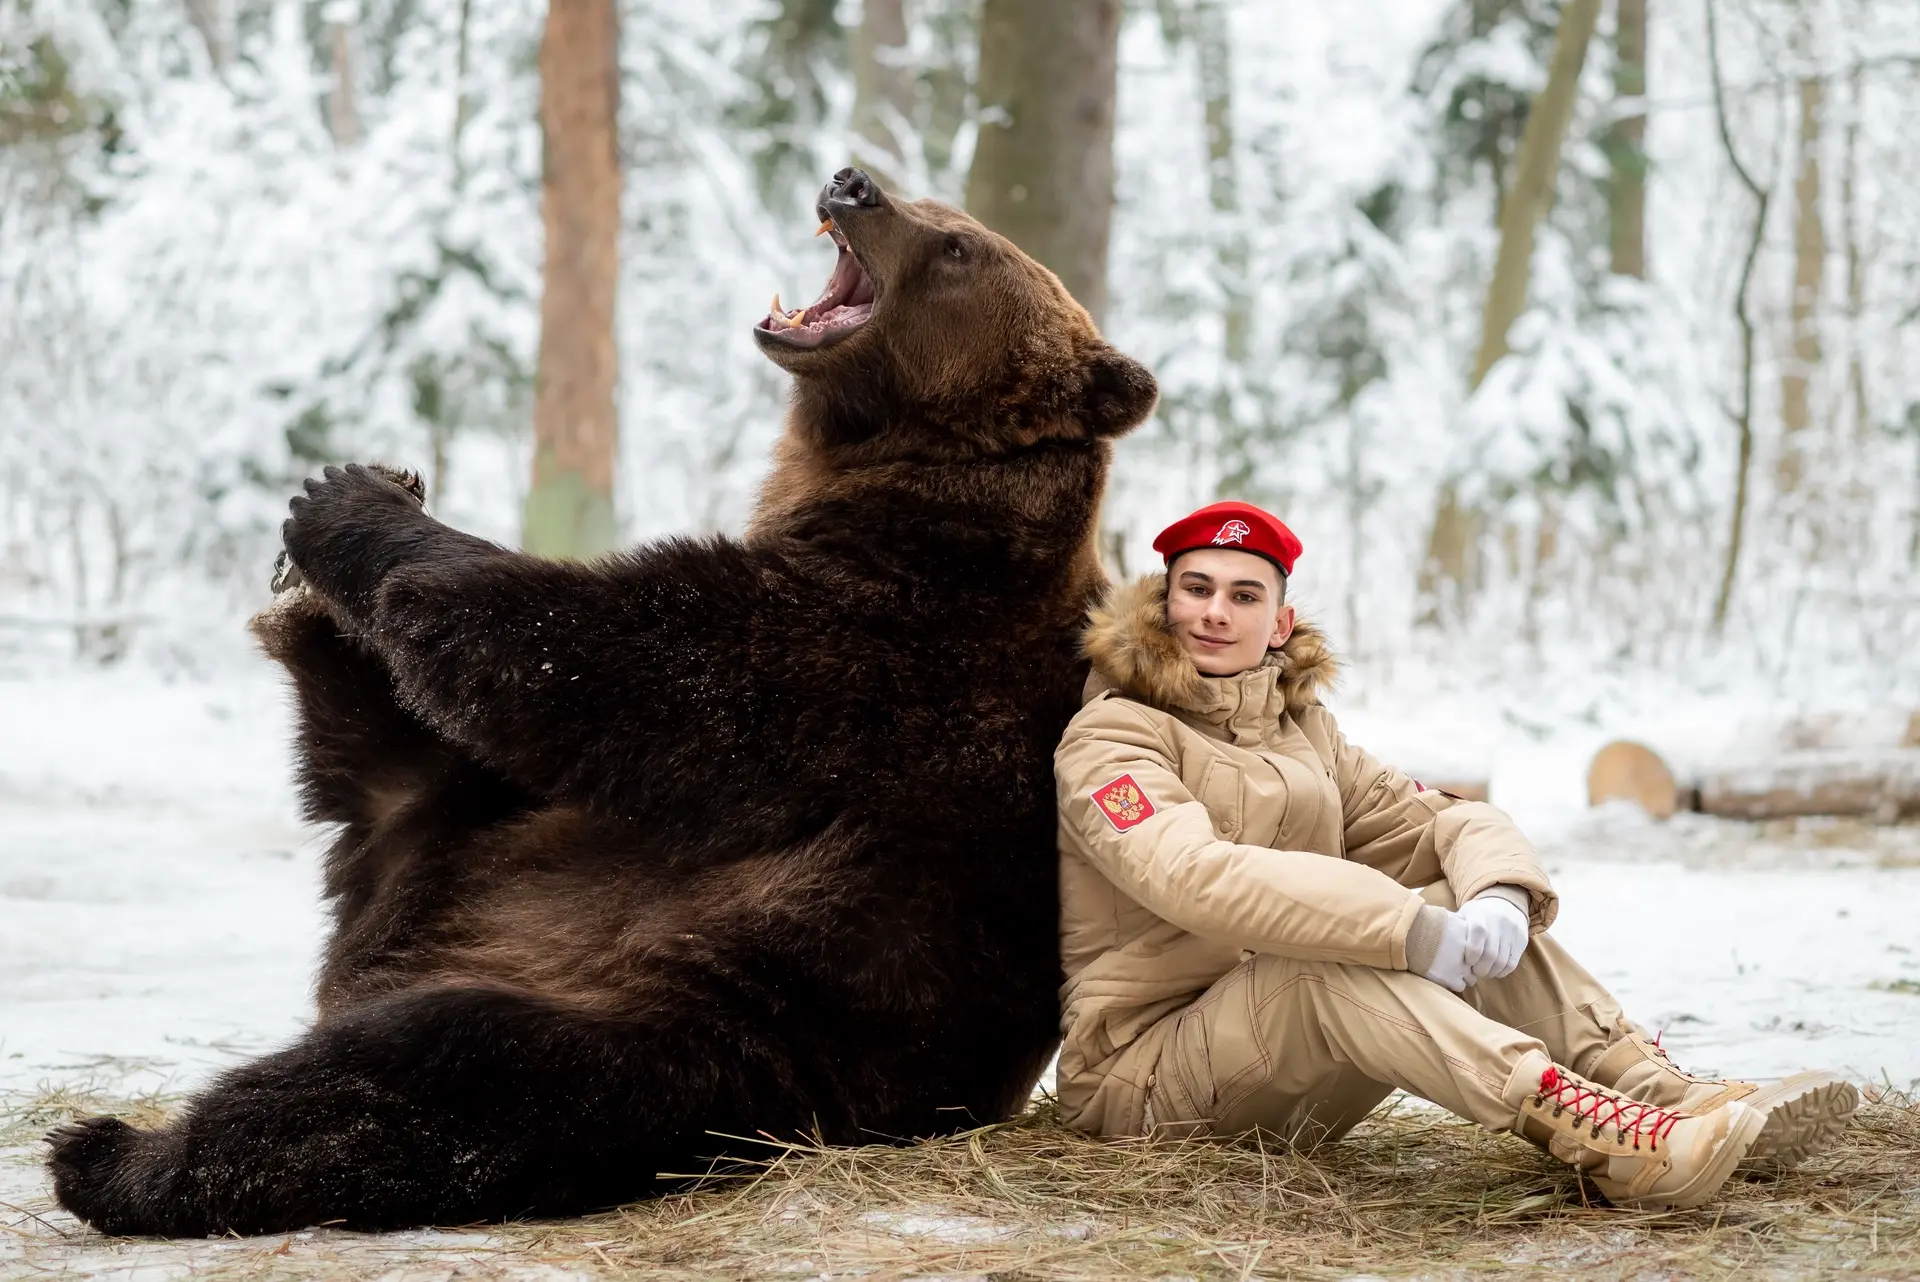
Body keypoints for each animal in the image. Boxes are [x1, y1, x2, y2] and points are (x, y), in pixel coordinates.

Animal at [46, 167, 1158, 1236]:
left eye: (960, 244)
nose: (853, 183)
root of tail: (389, 959)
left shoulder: (882, 647)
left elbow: (599, 650)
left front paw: (350, 504)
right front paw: (360, 486)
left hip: (689, 1030)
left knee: (415, 1077)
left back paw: (113, 1152)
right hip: (475, 864)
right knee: (389, 788)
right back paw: (306, 620)